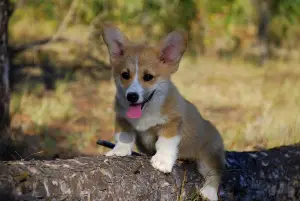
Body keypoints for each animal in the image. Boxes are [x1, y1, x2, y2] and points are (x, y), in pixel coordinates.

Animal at [102, 24, 224, 200]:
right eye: (125, 75)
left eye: (148, 77)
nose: (131, 96)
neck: (146, 109)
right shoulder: (122, 119)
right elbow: (124, 136)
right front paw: (119, 151)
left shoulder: (172, 123)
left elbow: (165, 143)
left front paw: (162, 161)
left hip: (209, 154)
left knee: (215, 173)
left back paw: (209, 192)